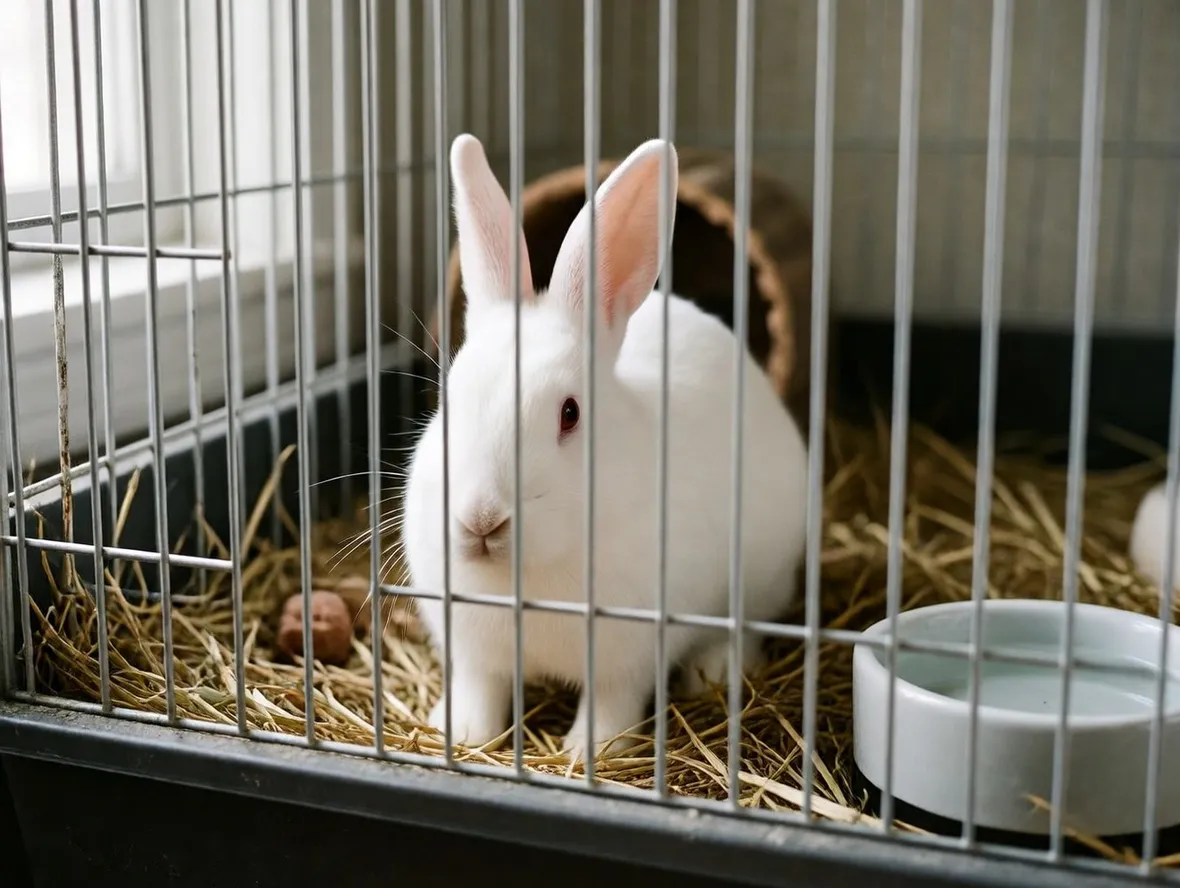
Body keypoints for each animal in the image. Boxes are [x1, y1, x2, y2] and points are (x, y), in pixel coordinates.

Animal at [401, 132, 809, 762]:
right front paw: (460, 733)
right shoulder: (474, 652)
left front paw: (590, 753)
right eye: (450, 396)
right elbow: (480, 691)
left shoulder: (627, 653)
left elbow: (612, 705)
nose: (481, 519)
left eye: (570, 413)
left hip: (762, 578)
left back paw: (711, 674)